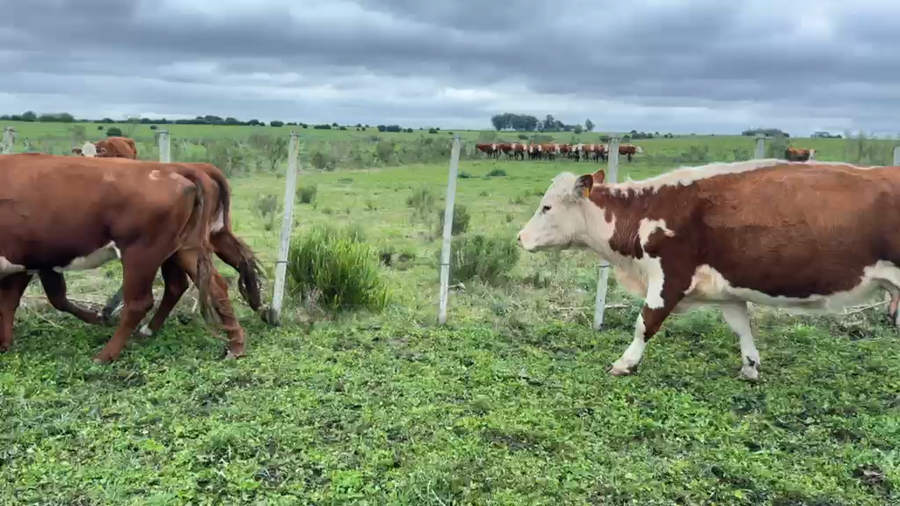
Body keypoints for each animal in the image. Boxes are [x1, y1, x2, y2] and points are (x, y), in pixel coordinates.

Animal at [0, 153, 246, 363]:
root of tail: (175, 170)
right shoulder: (30, 262)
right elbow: (15, 302)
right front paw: (5, 344)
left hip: (141, 254)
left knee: (139, 303)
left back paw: (105, 354)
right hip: (185, 248)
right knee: (213, 286)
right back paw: (235, 345)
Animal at [517, 159, 900, 382]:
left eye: (546, 206)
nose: (520, 237)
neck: (646, 212)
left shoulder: (670, 276)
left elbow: (645, 323)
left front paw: (625, 363)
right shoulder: (726, 290)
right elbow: (741, 327)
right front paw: (750, 367)